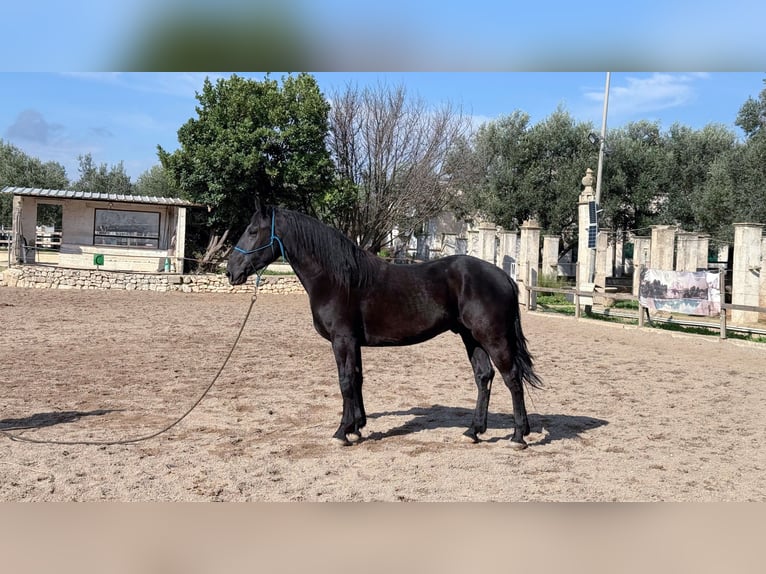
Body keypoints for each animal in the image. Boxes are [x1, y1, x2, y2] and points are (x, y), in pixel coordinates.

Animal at [226, 203, 543, 449]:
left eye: (252, 231)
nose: (231, 270)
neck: (337, 280)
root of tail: (504, 277)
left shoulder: (342, 340)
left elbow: (345, 380)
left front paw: (342, 432)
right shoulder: (353, 342)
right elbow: (356, 378)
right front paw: (357, 426)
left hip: (493, 337)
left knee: (512, 377)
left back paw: (518, 436)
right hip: (471, 337)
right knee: (484, 376)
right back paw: (473, 431)